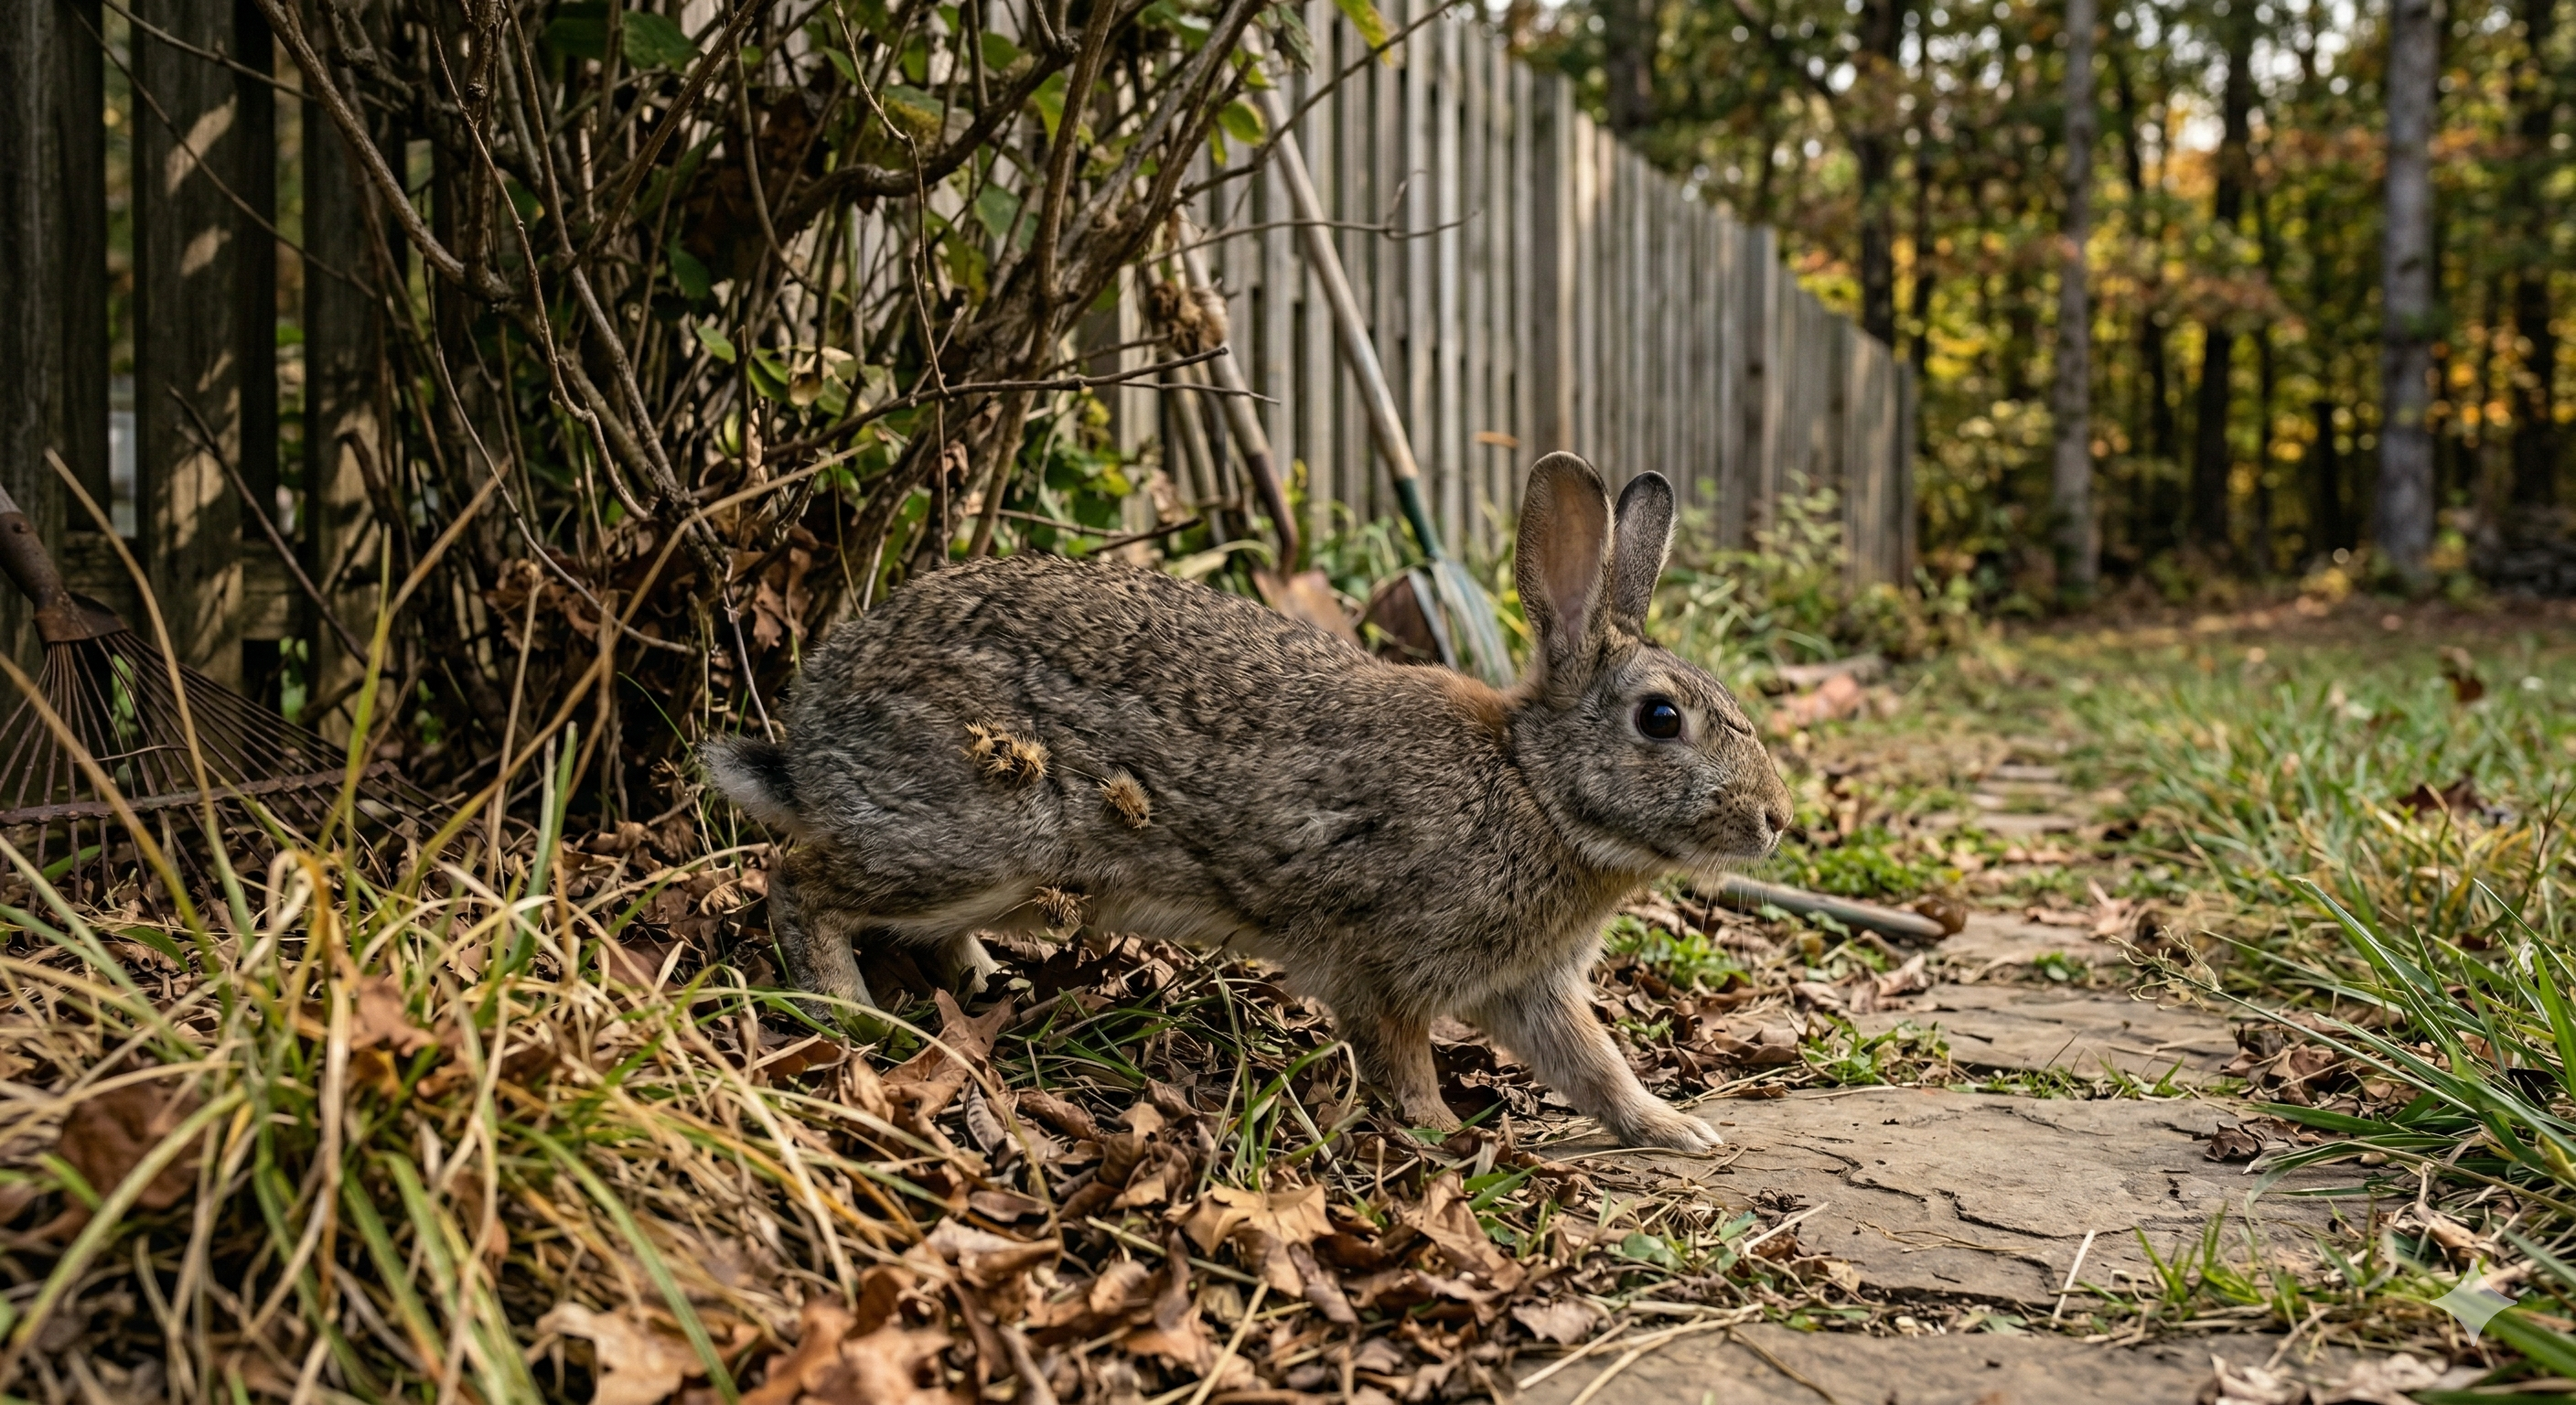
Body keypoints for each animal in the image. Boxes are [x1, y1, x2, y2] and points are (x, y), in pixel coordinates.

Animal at [703, 452, 1792, 1150]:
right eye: (1660, 719)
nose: (1776, 819)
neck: (1531, 785)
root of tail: (815, 732)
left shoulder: (1532, 988)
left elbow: (1595, 1067)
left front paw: (1677, 1130)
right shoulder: (1382, 966)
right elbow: (1401, 1060)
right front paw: (1444, 1134)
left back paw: (975, 981)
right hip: (976, 835)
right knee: (798, 882)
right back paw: (855, 1018)